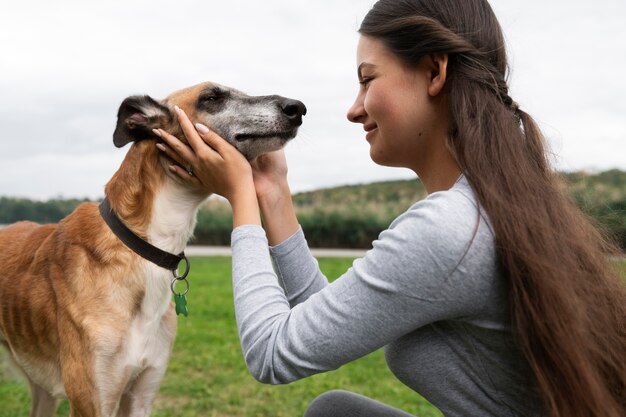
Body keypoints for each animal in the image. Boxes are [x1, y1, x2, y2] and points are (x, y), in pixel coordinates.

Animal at [0, 82, 304, 416]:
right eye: (211, 97)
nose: (297, 108)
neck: (139, 248)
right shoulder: (92, 400)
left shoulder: (141, 396)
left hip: (43, 391)